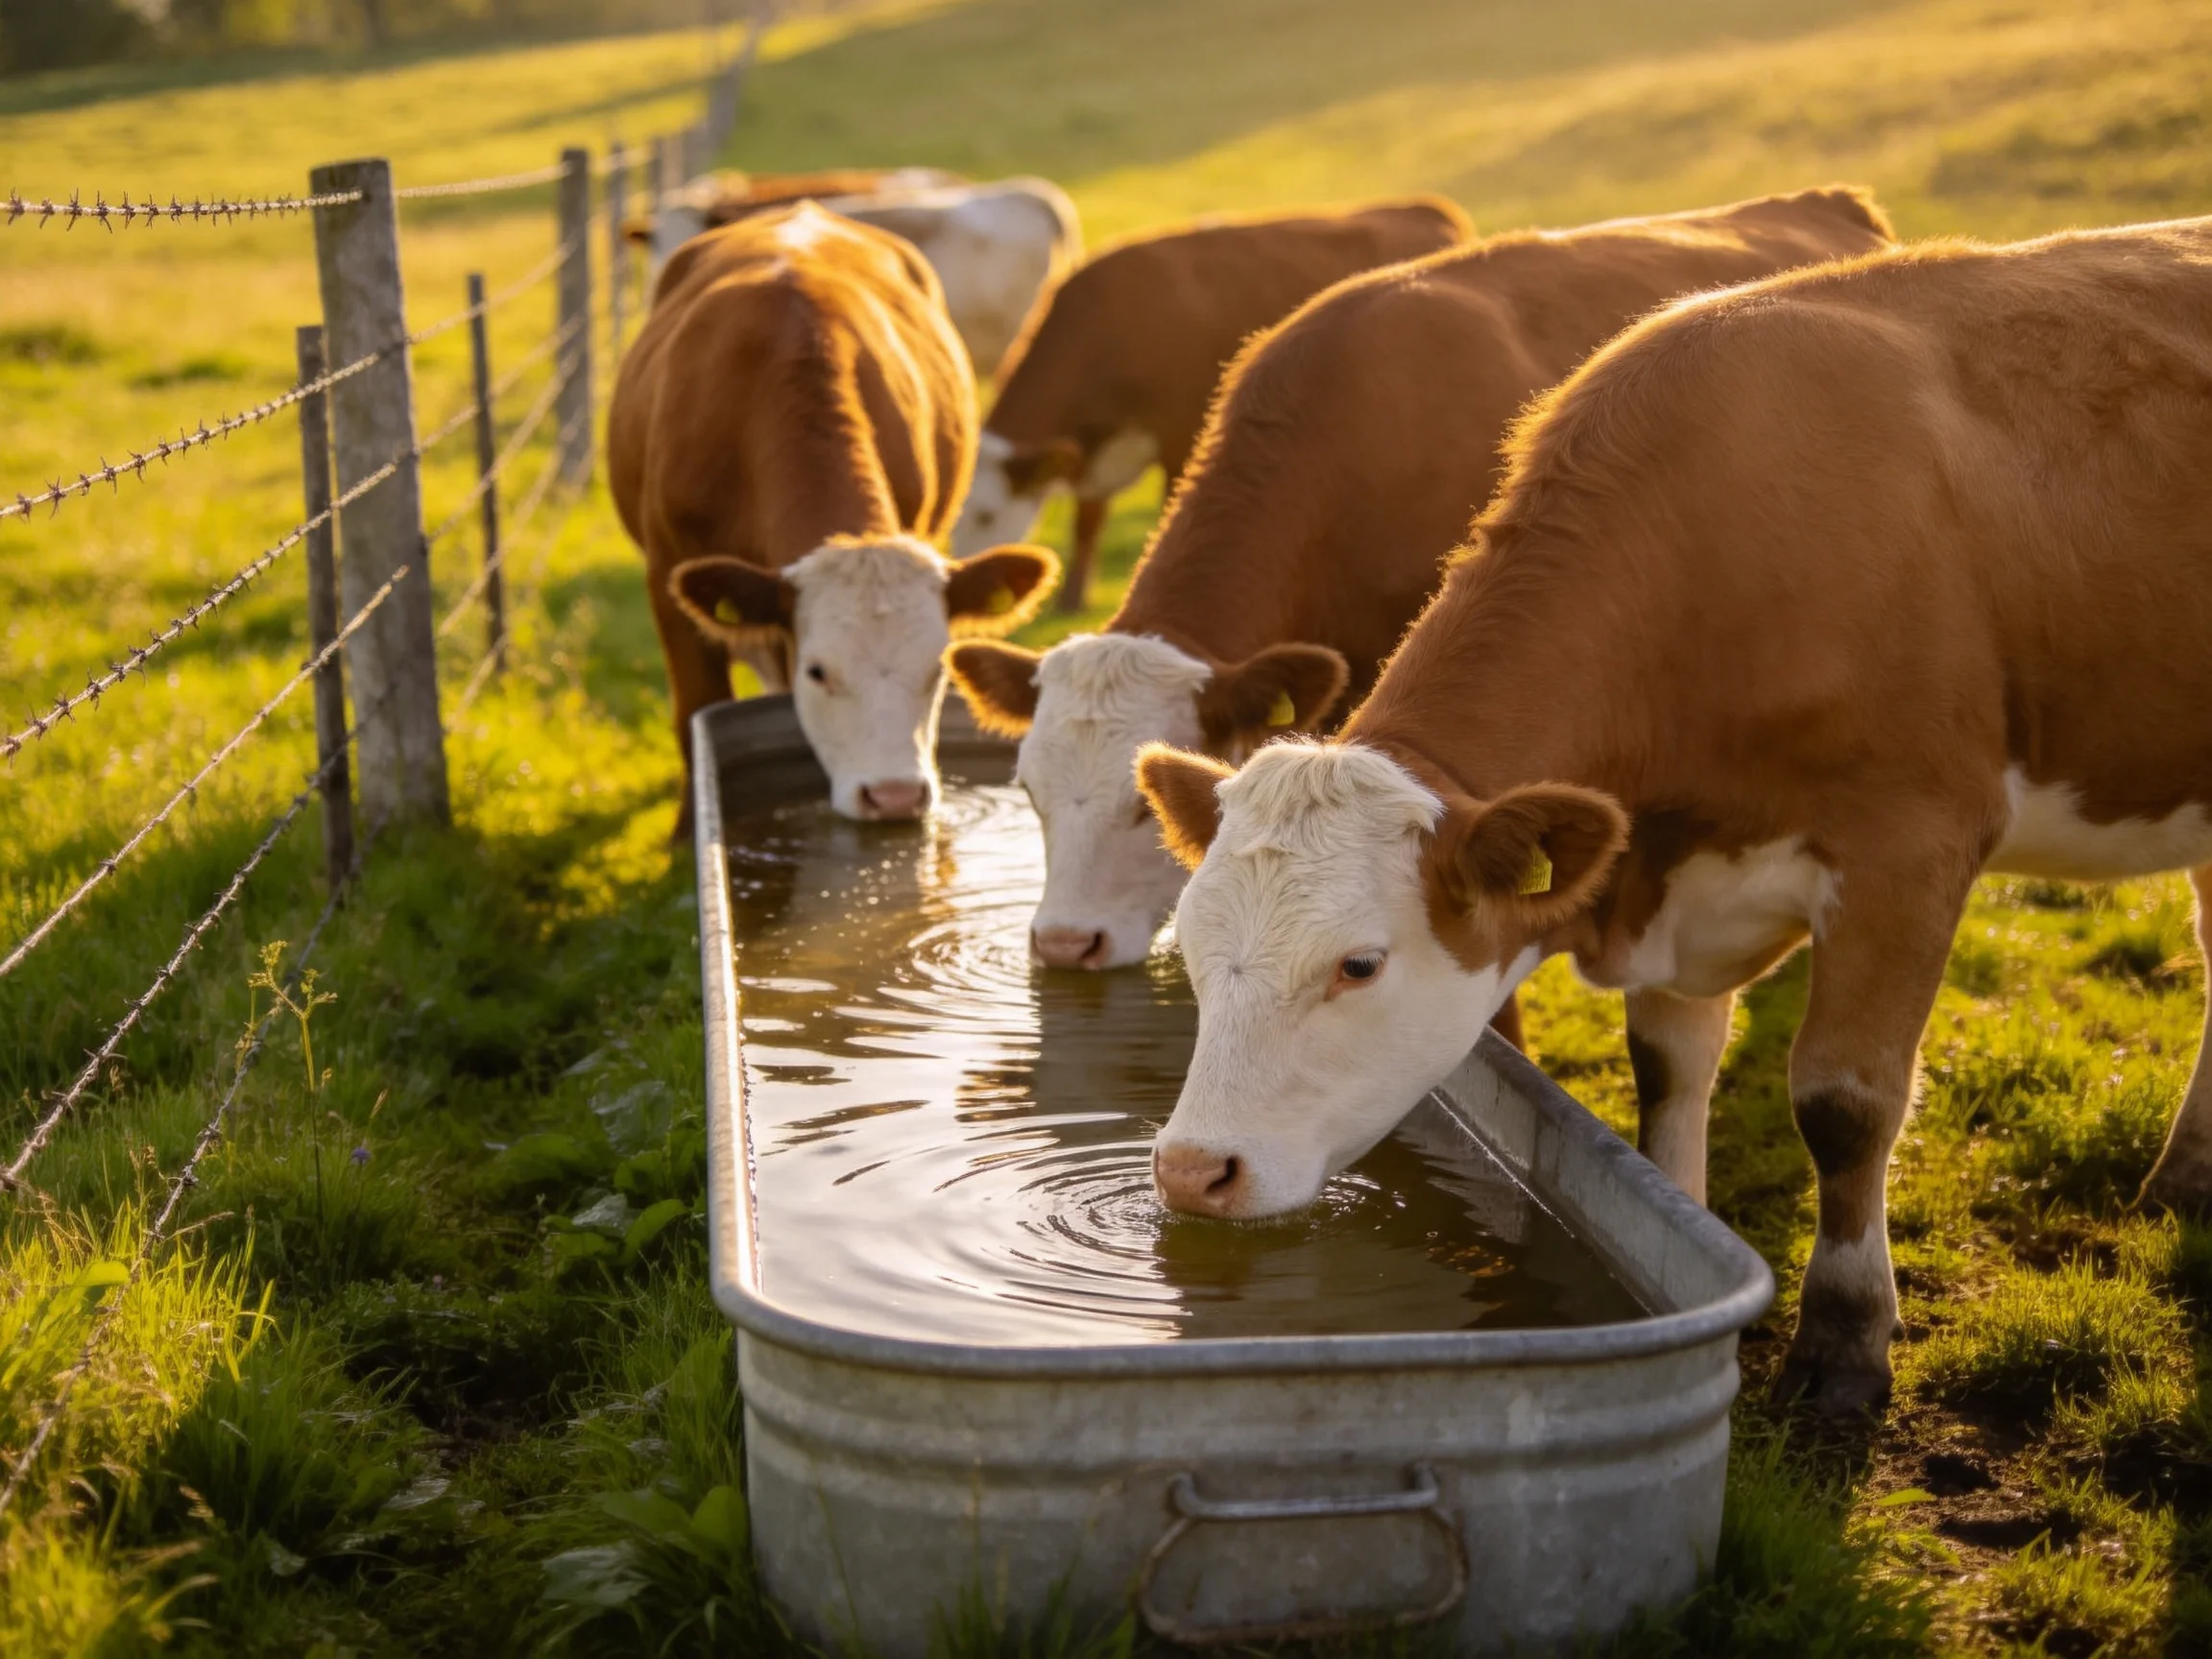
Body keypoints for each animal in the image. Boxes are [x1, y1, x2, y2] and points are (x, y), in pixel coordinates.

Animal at [607, 202, 1059, 836]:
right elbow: (696, 708)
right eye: (819, 672)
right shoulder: (666, 573)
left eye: (937, 670)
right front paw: (685, 834)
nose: (894, 796)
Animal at [949, 197, 1476, 611]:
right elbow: (1087, 522)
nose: (969, 574)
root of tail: (1424, 207)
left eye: (987, 516)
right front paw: (1072, 598)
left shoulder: (1179, 434)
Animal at [1133, 215, 2212, 1417]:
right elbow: (1666, 1072)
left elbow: (1846, 1102)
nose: (1193, 1171)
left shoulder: (1912, 846)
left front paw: (1845, 1339)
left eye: (1358, 966)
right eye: (1197, 942)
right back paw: (2186, 1175)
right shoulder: (1668, 876)